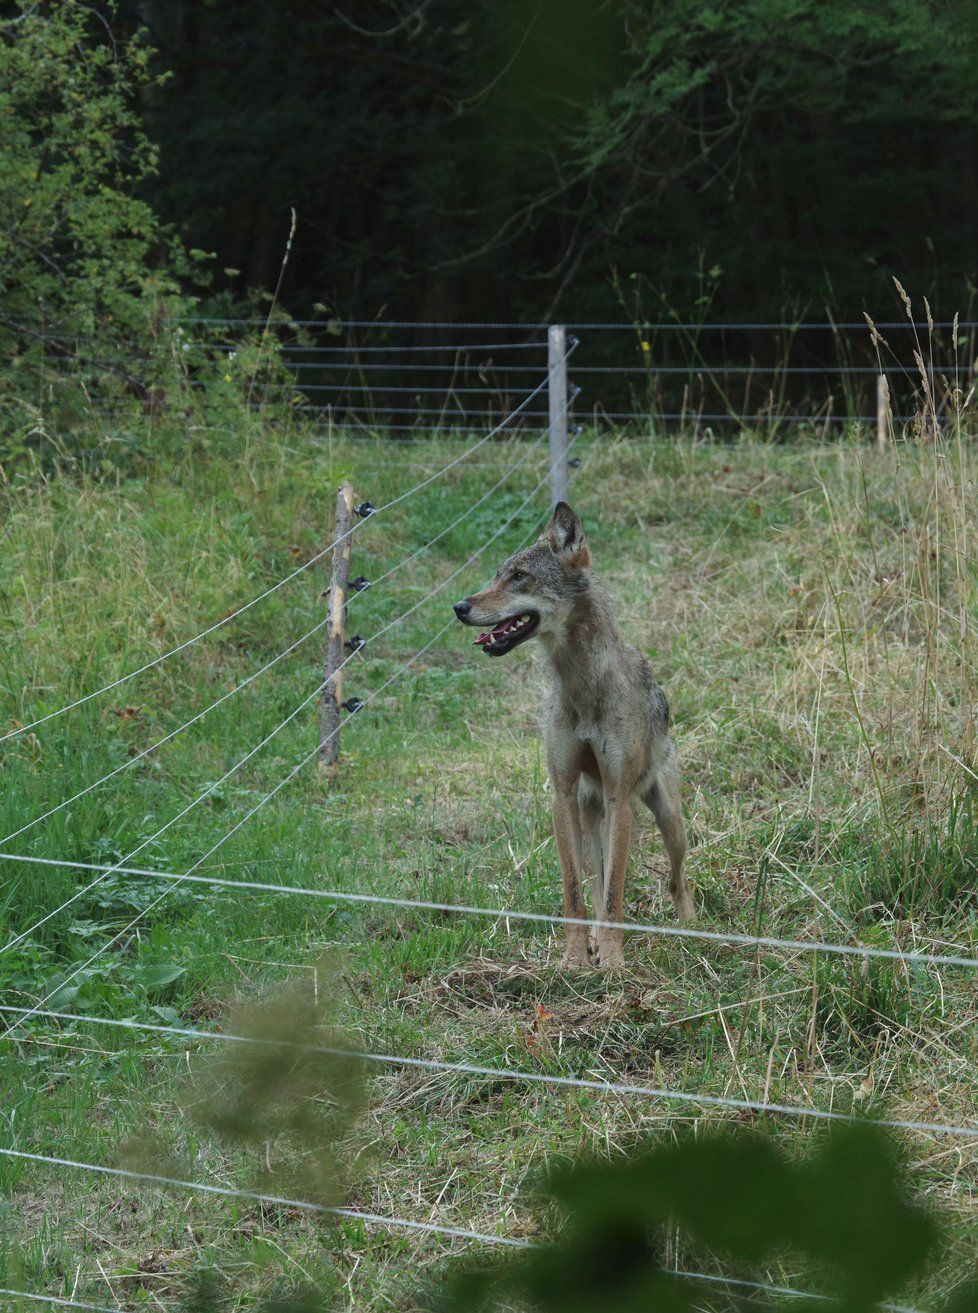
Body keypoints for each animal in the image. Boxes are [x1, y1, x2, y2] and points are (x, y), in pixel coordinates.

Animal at [454, 498, 693, 966]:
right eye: (499, 574)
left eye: (519, 577)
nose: (459, 607)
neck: (582, 687)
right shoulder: (561, 794)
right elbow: (575, 893)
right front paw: (575, 960)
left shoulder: (619, 796)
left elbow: (615, 896)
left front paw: (614, 964)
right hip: (589, 814)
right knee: (598, 881)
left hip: (666, 819)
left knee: (676, 879)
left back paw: (694, 930)